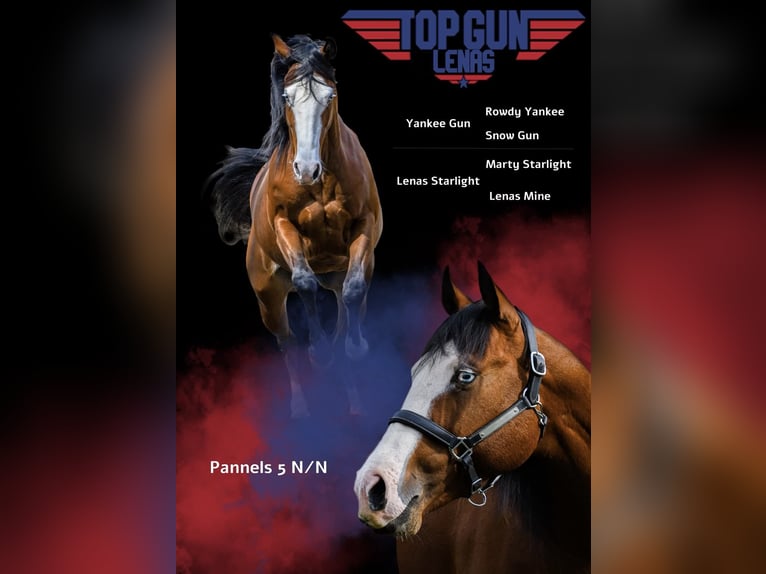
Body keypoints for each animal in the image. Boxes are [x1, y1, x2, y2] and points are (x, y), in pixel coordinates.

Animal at [206, 35, 383, 418]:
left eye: (330, 96)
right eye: (287, 97)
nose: (306, 169)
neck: (322, 183)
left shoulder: (364, 225)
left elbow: (354, 290)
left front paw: (355, 349)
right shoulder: (283, 225)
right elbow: (304, 282)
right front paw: (320, 351)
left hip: (336, 279)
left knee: (343, 311)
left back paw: (354, 403)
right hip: (269, 298)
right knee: (287, 343)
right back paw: (301, 409)